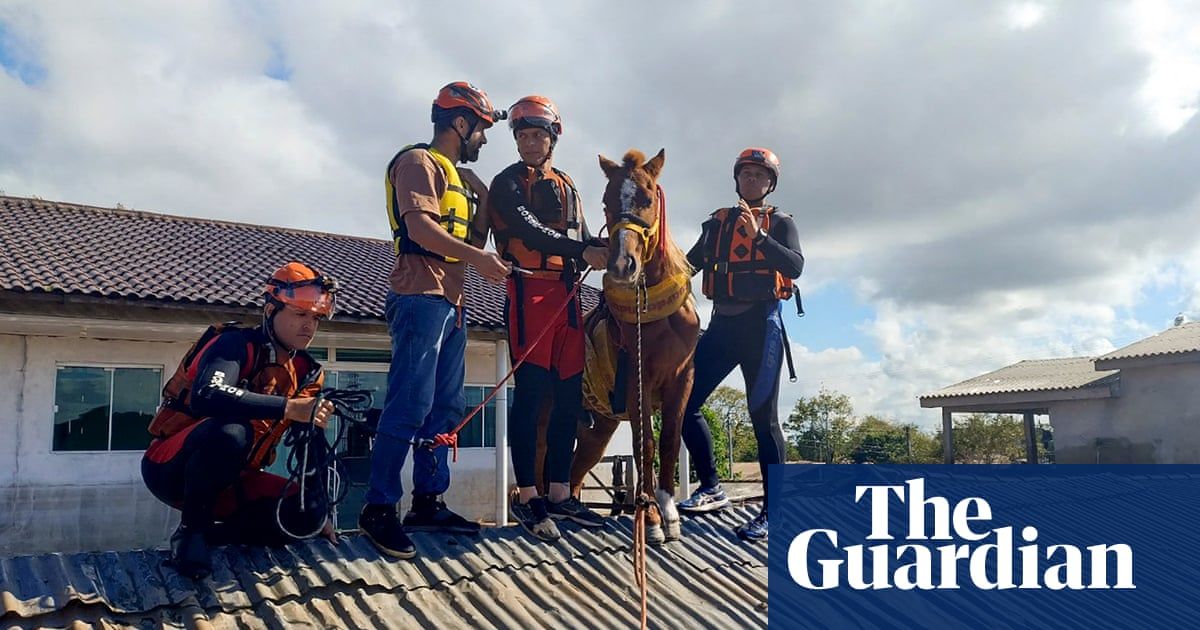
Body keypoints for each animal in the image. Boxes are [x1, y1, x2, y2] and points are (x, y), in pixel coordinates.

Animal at [537, 147, 700, 540]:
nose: (623, 265)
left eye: (647, 197)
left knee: (578, 467)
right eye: (606, 201)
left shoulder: (682, 378)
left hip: (596, 427)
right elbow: (645, 445)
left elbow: (669, 441)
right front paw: (651, 517)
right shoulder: (638, 380)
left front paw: (669, 511)